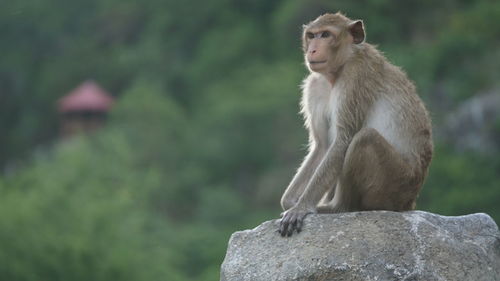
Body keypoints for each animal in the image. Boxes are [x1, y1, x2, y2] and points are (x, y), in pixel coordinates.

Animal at [278, 13, 434, 236]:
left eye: (326, 35)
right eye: (312, 35)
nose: (312, 49)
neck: (337, 71)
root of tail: (409, 203)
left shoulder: (356, 76)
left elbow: (343, 140)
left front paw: (301, 206)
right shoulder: (314, 85)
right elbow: (323, 145)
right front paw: (291, 201)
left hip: (397, 183)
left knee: (364, 138)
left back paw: (338, 207)